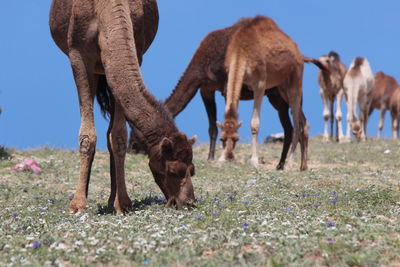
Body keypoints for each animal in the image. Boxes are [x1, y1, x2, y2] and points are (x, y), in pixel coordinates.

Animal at [49, 0, 196, 215]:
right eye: (172, 170)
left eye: (192, 169)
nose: (188, 202)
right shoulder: (78, 54)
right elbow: (87, 135)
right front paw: (77, 204)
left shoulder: (135, 49)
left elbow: (118, 136)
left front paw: (124, 203)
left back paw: (112, 200)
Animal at [163, 17, 294, 171]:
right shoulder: (206, 88)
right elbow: (212, 127)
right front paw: (211, 157)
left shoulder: (225, 87)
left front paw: (225, 156)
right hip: (275, 97)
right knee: (289, 127)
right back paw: (280, 164)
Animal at [219, 16, 310, 171]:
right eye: (222, 139)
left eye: (237, 138)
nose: (229, 156)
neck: (241, 50)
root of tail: (298, 52)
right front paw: (220, 158)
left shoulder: (259, 84)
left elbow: (254, 123)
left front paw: (254, 161)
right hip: (282, 87)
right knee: (302, 120)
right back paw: (303, 166)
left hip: (296, 77)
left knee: (296, 123)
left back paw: (290, 163)